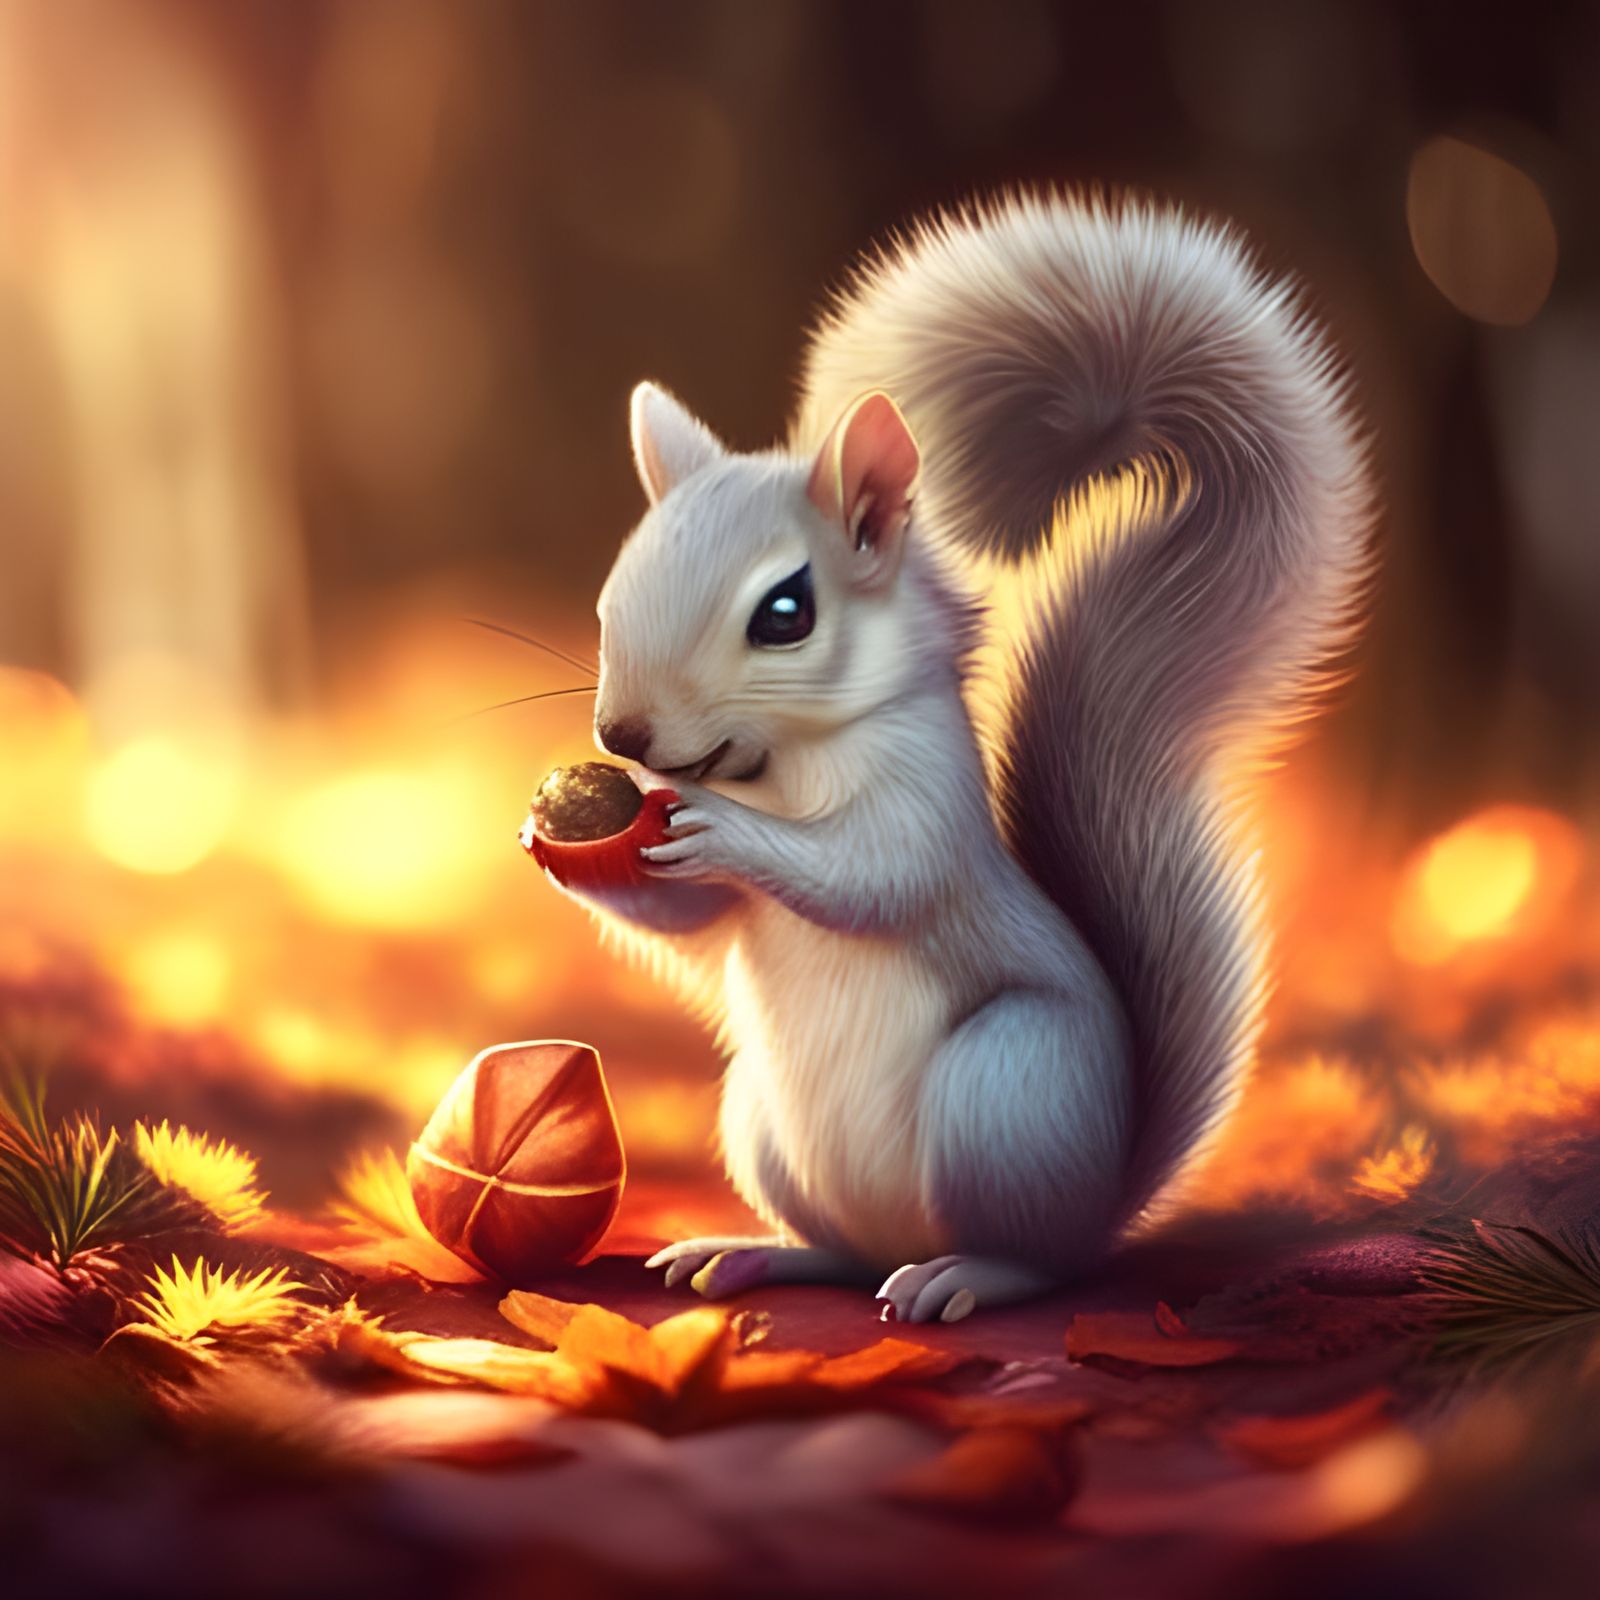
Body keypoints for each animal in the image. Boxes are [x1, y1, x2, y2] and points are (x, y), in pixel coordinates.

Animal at [552, 192, 1371, 1322]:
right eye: (610, 591)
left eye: (785, 613)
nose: (620, 738)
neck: (783, 765)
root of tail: (1104, 1194)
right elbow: (690, 919)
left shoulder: (929, 789)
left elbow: (874, 871)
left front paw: (727, 830)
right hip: (759, 1119)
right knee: (843, 1249)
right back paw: (755, 1252)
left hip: (1006, 1087)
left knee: (1032, 1260)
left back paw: (964, 1275)